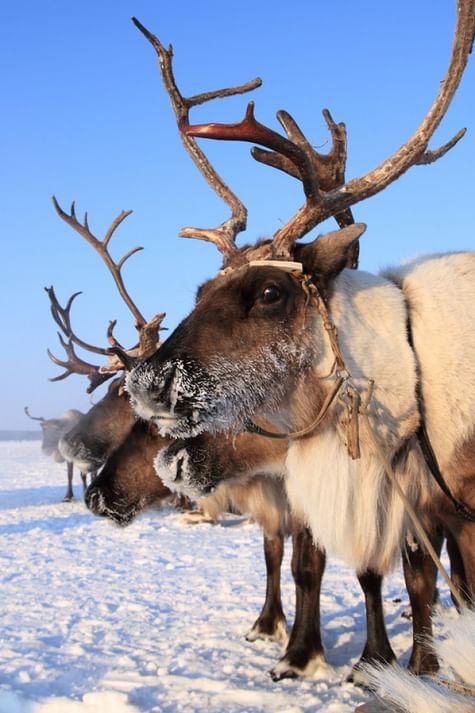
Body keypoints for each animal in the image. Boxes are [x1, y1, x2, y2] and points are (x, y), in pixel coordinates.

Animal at [125, 0, 475, 676]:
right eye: (200, 291)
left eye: (269, 292)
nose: (145, 383)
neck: (412, 384)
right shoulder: (416, 509)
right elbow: (404, 583)